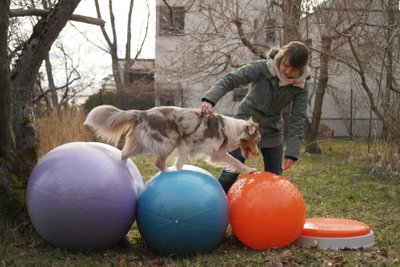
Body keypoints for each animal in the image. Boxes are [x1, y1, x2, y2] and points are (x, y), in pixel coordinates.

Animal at [84, 105, 260, 175]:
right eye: (258, 139)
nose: (258, 154)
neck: (228, 130)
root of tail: (142, 113)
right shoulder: (189, 144)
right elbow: (180, 163)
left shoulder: (212, 152)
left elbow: (235, 162)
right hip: (169, 140)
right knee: (158, 162)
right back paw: (166, 173)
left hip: (142, 144)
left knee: (124, 154)